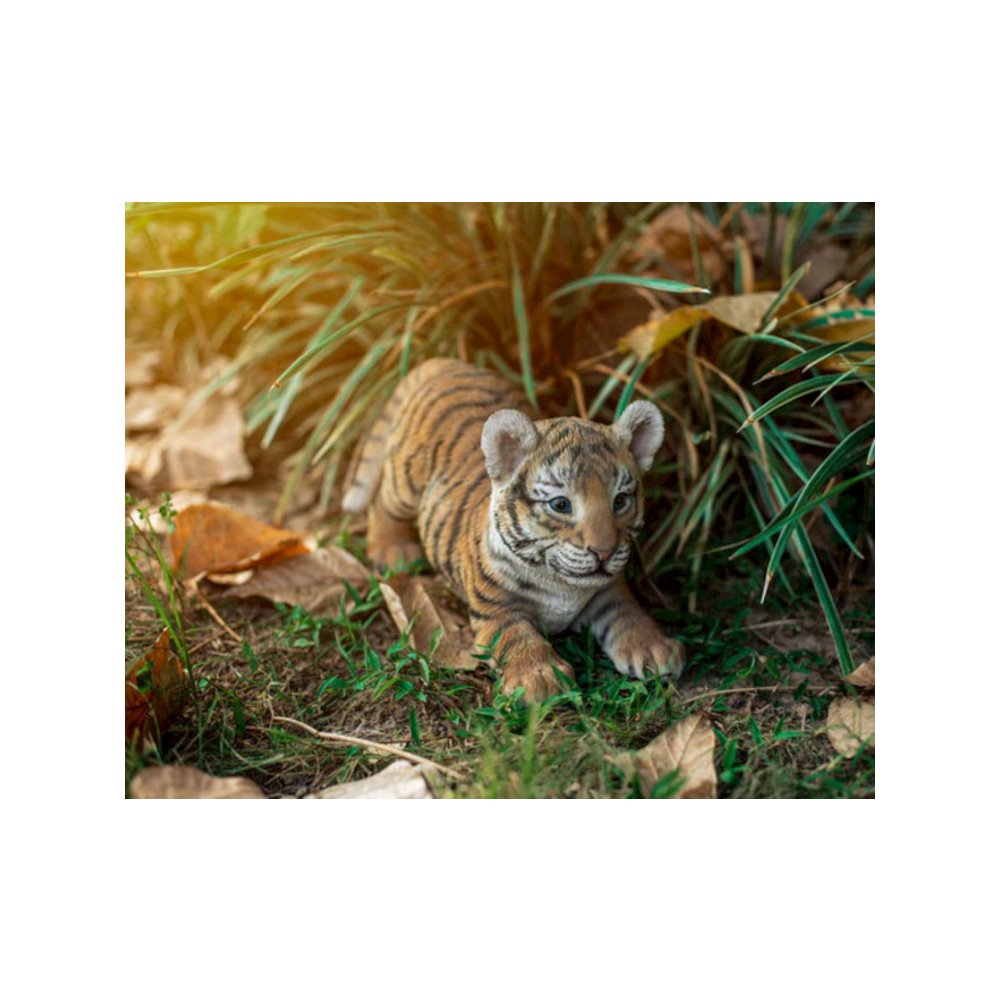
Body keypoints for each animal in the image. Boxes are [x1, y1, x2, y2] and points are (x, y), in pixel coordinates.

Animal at [341, 358, 685, 702]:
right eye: (561, 505)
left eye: (620, 501)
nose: (604, 552)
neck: (561, 583)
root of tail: (444, 363)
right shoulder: (496, 610)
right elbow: (518, 638)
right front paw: (539, 678)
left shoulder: (608, 590)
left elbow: (628, 613)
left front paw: (654, 648)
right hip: (406, 479)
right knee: (383, 501)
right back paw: (394, 550)